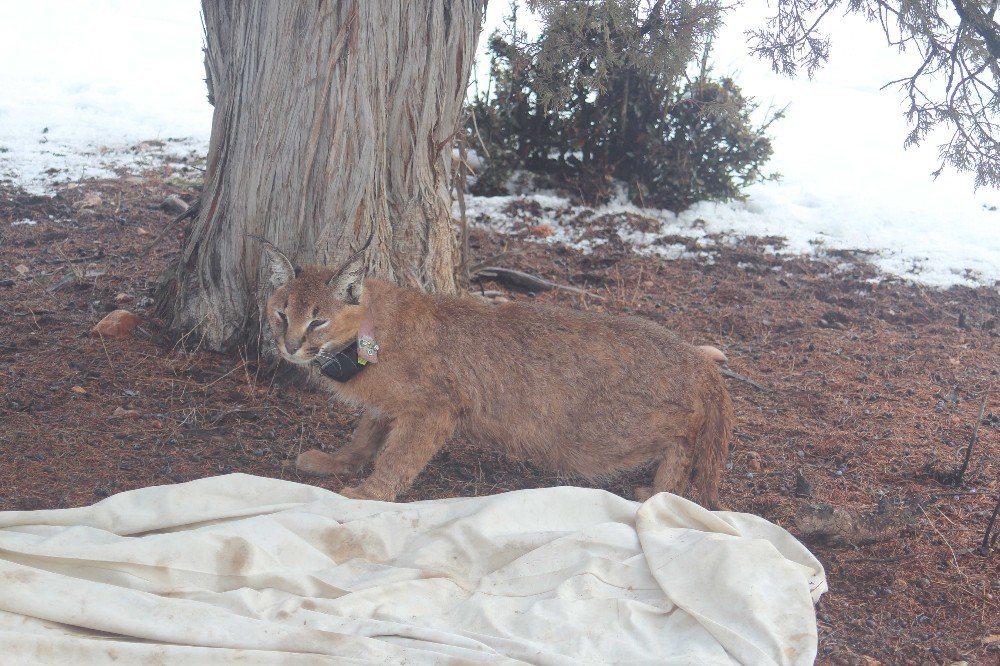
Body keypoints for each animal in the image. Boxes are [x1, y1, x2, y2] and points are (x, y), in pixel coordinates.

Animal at [254, 236, 732, 506]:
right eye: (281, 313)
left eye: (317, 321)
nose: (289, 346)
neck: (366, 337)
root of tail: (692, 355)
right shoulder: (389, 406)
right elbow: (364, 436)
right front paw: (338, 462)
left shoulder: (435, 408)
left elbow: (397, 456)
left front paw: (372, 493)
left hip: (607, 430)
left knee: (683, 438)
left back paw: (660, 492)